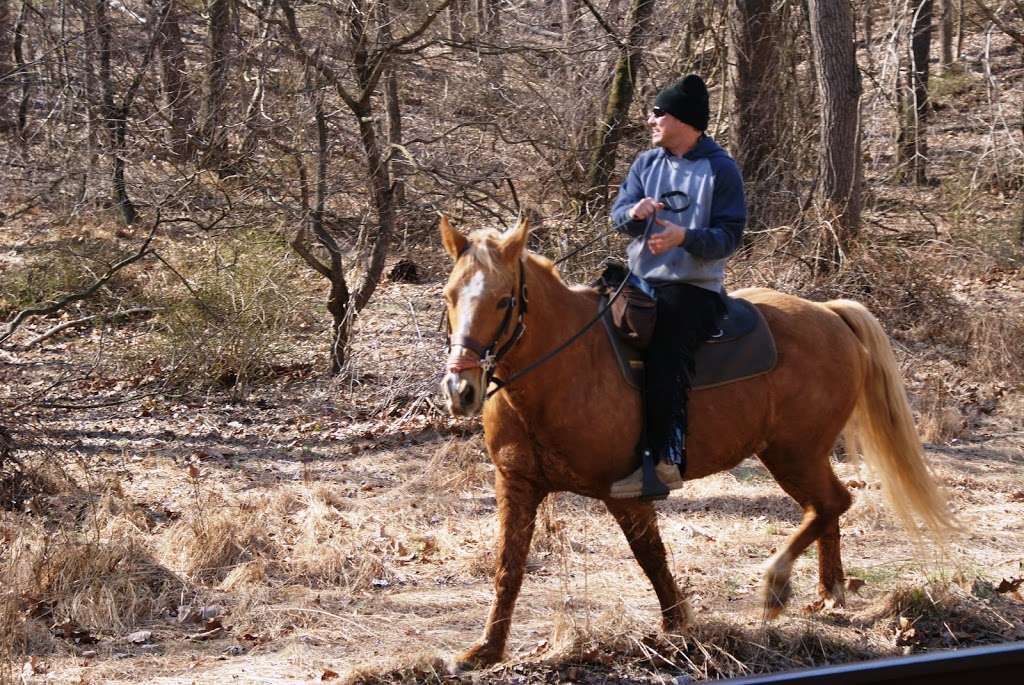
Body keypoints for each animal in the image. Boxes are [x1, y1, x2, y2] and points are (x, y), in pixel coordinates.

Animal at [436, 215, 954, 667]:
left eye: (504, 301)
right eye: (449, 296)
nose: (461, 390)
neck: (563, 369)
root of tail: (829, 314)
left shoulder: (624, 493)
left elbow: (650, 556)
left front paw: (677, 625)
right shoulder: (516, 485)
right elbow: (508, 567)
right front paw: (486, 650)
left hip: (794, 454)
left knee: (831, 503)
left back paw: (777, 584)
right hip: (799, 455)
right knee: (828, 507)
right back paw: (828, 594)